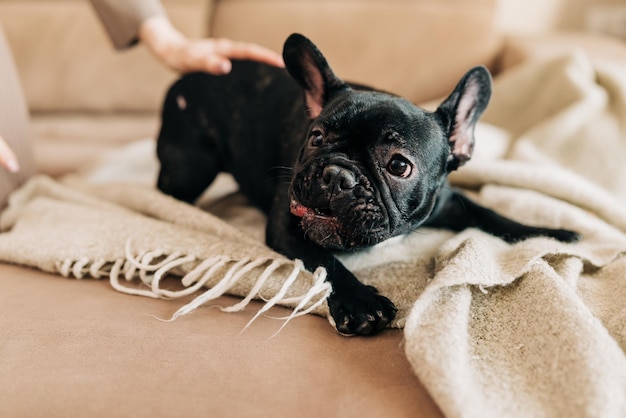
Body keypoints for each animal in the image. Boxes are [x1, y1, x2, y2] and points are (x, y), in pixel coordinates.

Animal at [156, 33, 580, 336]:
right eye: (316, 137)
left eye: (399, 165)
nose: (336, 174)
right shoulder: (288, 225)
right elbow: (326, 260)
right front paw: (361, 302)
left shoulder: (448, 202)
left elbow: (490, 213)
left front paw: (549, 233)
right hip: (190, 165)